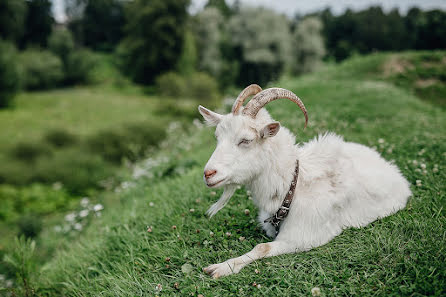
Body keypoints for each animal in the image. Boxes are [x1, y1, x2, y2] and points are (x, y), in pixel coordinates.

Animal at [199, 84, 412, 278]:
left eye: (246, 140)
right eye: (217, 138)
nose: (208, 173)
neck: (292, 187)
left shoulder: (302, 238)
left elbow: (262, 247)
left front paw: (222, 267)